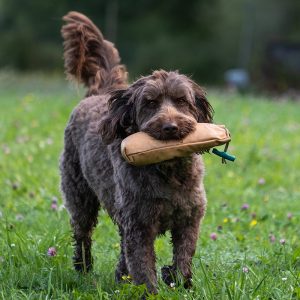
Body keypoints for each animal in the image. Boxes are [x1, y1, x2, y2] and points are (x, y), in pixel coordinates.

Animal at [59, 10, 213, 294]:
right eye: (150, 103)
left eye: (181, 100)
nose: (171, 127)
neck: (168, 171)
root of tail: (99, 94)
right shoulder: (139, 224)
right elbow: (142, 263)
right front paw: (150, 292)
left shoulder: (189, 218)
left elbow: (184, 255)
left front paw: (178, 280)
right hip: (79, 194)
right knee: (83, 233)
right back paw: (84, 269)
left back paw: (120, 276)